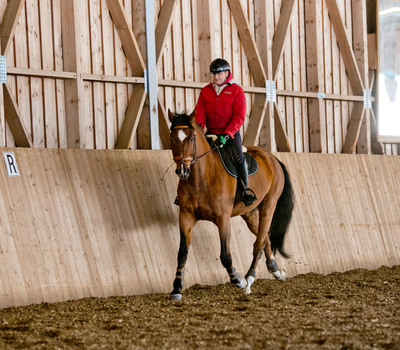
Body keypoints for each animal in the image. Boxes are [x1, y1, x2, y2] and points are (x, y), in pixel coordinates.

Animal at [168, 110, 294, 300]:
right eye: (172, 138)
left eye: (191, 139)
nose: (183, 170)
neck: (201, 177)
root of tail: (272, 158)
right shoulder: (186, 216)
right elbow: (182, 252)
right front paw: (176, 289)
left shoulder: (223, 218)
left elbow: (225, 256)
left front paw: (238, 280)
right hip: (249, 213)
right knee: (265, 238)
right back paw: (276, 271)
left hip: (268, 206)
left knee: (259, 243)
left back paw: (249, 278)